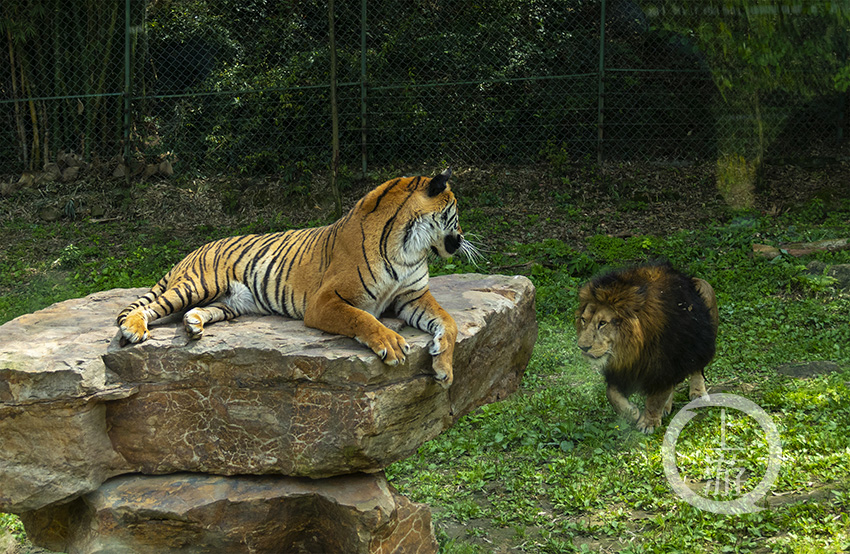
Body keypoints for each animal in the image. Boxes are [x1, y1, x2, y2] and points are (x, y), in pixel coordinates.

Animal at [115, 166, 474, 386]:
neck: (410, 246)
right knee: (148, 307)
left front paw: (444, 367)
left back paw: (194, 325)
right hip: (199, 284)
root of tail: (194, 249)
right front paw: (391, 344)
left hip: (230, 303)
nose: (461, 238)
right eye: (456, 210)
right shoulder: (325, 301)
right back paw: (134, 329)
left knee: (194, 312)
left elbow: (448, 322)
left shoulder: (412, 296)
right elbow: (362, 319)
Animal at [572, 260, 720, 434]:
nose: (583, 347)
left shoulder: (665, 365)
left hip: (705, 290)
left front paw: (648, 423)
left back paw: (698, 394)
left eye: (602, 323)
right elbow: (611, 394)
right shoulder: (621, 370)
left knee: (697, 366)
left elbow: (656, 397)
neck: (630, 349)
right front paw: (632, 413)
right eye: (583, 320)